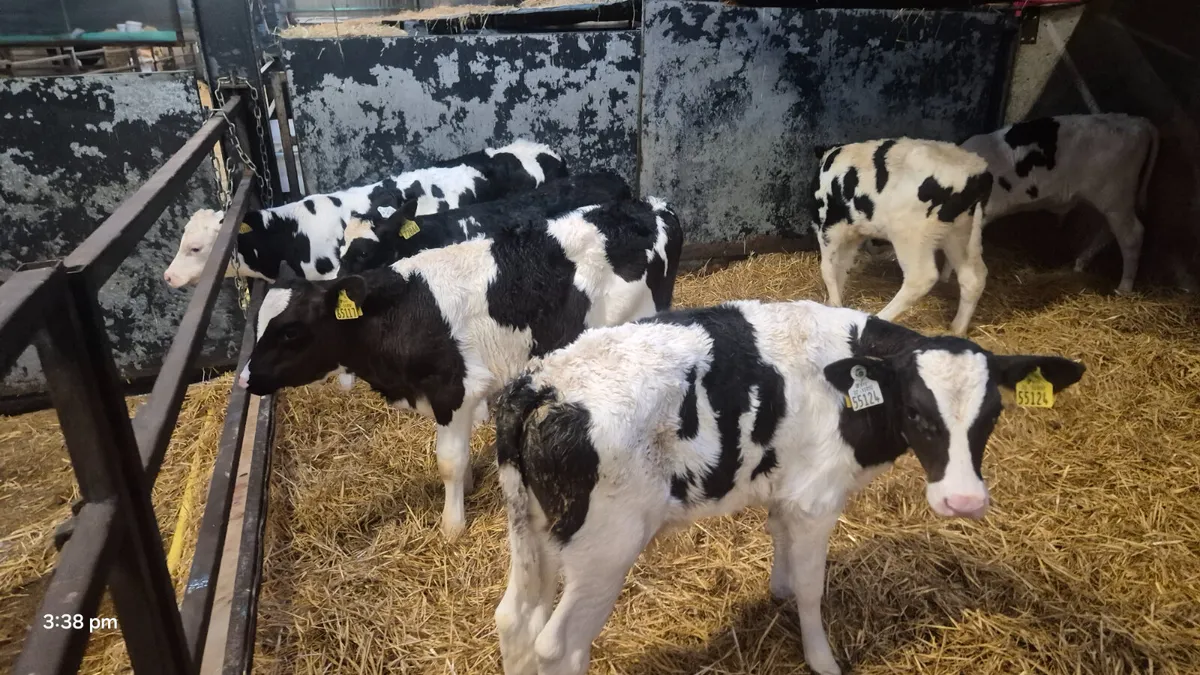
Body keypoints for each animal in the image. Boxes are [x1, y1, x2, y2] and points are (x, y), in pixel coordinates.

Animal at [236, 197, 685, 540]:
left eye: (291, 332)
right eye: (257, 324)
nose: (245, 378)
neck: (403, 310)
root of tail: (652, 205)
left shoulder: (453, 389)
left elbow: (449, 461)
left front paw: (452, 524)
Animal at [491, 299, 1085, 675]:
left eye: (993, 415)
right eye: (916, 411)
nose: (963, 500)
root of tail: (543, 382)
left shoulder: (788, 488)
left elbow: (780, 544)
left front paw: (776, 588)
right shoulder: (816, 499)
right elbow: (812, 588)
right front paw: (822, 659)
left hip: (536, 527)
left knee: (516, 620)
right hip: (605, 547)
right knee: (558, 647)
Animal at [812, 138, 993, 336]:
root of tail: (977, 172)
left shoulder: (828, 225)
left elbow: (828, 268)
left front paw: (833, 304)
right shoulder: (853, 233)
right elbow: (842, 267)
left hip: (910, 233)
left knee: (921, 278)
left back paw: (880, 317)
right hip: (962, 232)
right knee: (973, 278)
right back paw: (957, 329)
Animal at [960, 113, 1158, 294]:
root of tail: (1138, 121)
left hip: (1115, 195)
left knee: (1132, 235)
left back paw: (1124, 288)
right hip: (1108, 201)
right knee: (1108, 230)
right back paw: (1080, 263)